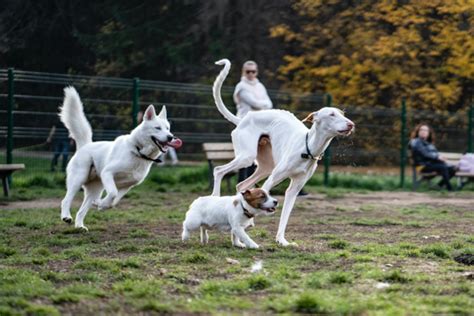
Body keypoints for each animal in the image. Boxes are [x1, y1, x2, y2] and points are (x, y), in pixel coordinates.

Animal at [57, 86, 183, 230]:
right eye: (157, 128)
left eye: (168, 128)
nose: (171, 137)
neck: (138, 151)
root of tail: (85, 145)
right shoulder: (108, 173)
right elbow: (112, 193)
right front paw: (101, 204)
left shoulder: (127, 186)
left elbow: (114, 202)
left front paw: (100, 205)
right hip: (78, 179)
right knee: (66, 200)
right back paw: (66, 217)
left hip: (95, 189)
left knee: (82, 210)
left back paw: (79, 226)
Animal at [212, 59, 356, 247]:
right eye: (332, 114)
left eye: (342, 113)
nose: (351, 124)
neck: (307, 148)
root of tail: (243, 119)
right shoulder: (272, 179)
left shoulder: (294, 189)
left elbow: (285, 216)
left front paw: (282, 240)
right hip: (247, 158)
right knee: (218, 170)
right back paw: (215, 198)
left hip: (265, 166)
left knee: (241, 186)